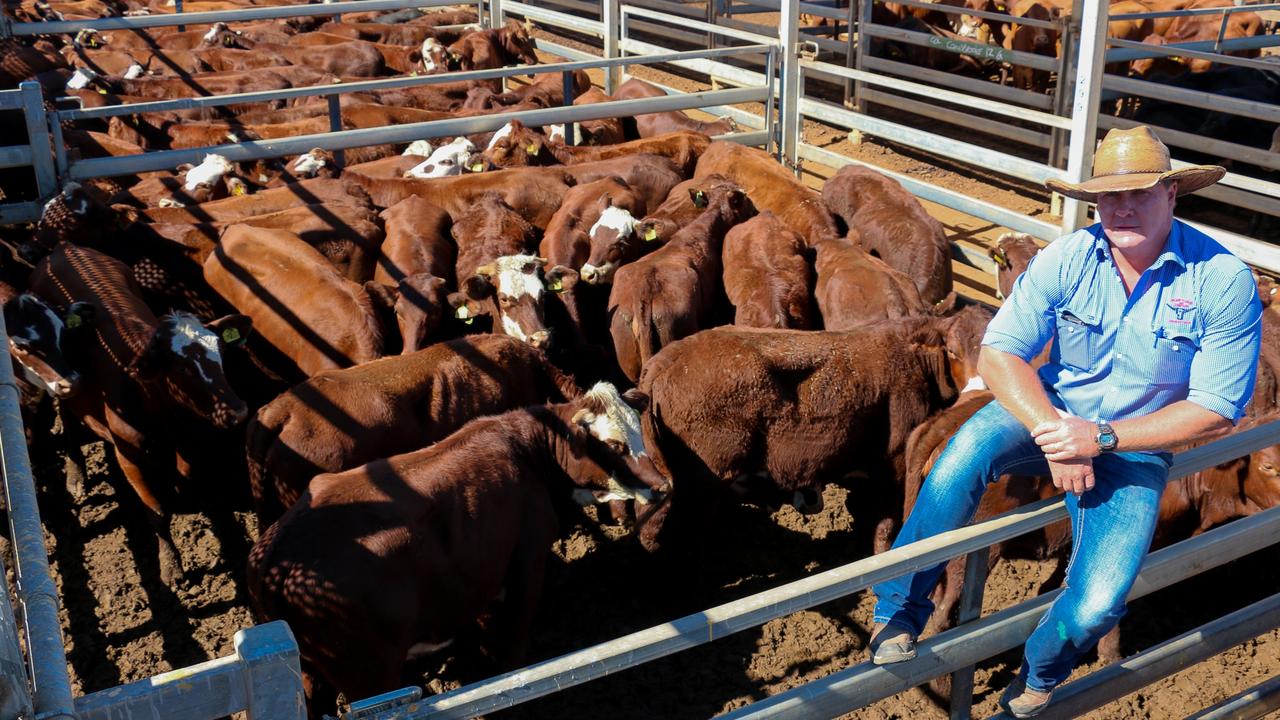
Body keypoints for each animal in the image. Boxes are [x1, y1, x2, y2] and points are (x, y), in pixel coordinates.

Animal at [30, 242, 250, 584]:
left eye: (221, 354)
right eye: (182, 368)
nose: (238, 411)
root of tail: (65, 248)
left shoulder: (186, 443)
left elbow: (185, 479)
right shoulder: (128, 458)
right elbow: (157, 512)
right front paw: (172, 566)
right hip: (63, 381)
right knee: (67, 415)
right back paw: (77, 474)